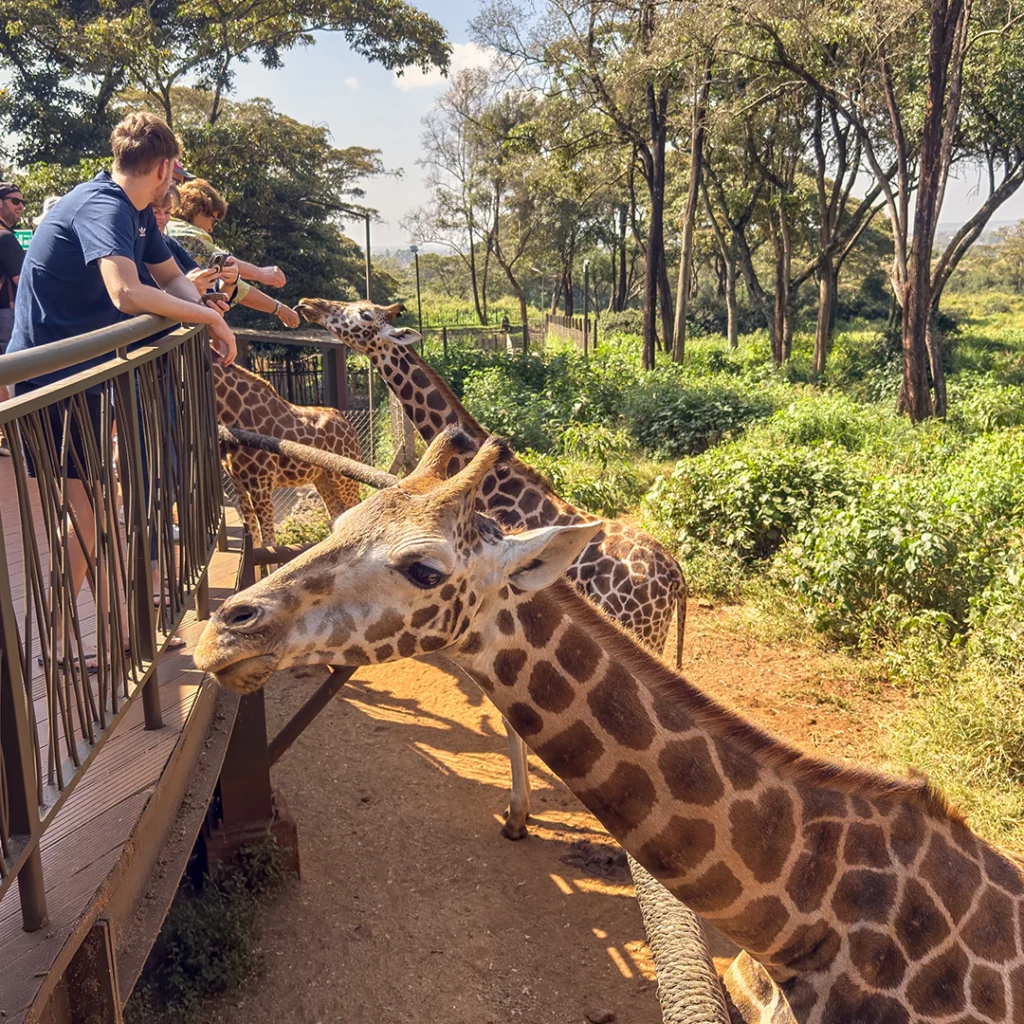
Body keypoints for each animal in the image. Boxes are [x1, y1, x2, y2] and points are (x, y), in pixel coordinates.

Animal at [213, 362, 362, 547]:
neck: (232, 413)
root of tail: (349, 424)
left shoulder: (260, 483)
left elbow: (269, 543)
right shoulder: (238, 482)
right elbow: (254, 539)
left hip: (344, 478)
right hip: (322, 478)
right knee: (335, 517)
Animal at [297, 296, 688, 839]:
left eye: (364, 316)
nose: (309, 303)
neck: (501, 493)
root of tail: (675, 577)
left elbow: (512, 720)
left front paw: (518, 816)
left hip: (640, 630)